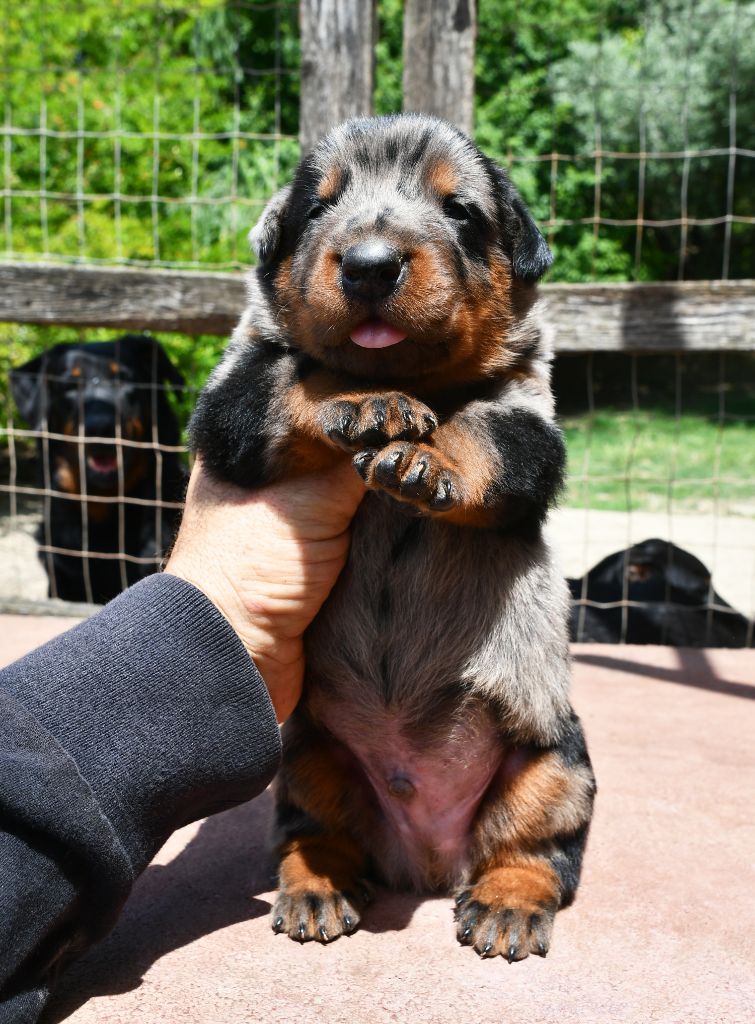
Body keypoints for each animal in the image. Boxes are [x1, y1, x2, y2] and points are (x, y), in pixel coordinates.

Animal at [189, 116, 594, 962]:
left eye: (459, 210)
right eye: (317, 208)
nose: (370, 265)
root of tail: (427, 857)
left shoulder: (530, 421)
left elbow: (479, 429)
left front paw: (422, 455)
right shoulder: (233, 399)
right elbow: (302, 379)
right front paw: (368, 402)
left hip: (556, 757)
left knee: (532, 849)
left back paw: (507, 905)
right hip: (309, 758)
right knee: (313, 835)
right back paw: (316, 888)